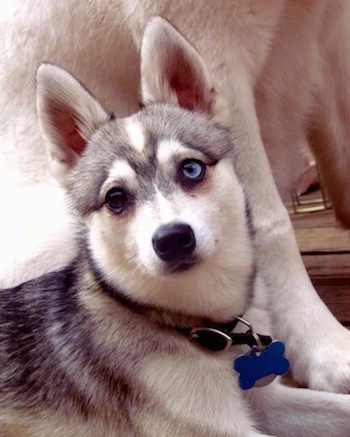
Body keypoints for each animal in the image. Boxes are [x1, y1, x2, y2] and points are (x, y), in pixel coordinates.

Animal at [0, 17, 350, 436]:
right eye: (115, 198)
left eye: (191, 169)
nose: (173, 239)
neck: (198, 329)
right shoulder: (213, 424)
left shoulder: (267, 403)